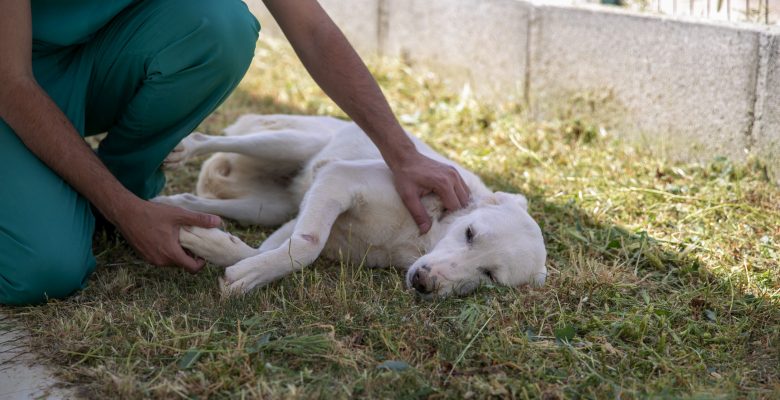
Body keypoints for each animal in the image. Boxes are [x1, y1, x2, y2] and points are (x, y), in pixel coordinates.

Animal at [149, 113, 544, 296]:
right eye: (470, 233)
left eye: (489, 276)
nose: (424, 283)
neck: (416, 240)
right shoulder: (337, 178)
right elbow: (305, 248)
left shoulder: (310, 212)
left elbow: (266, 250)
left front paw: (216, 248)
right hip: (286, 144)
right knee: (211, 138)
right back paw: (183, 150)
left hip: (270, 207)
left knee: (193, 199)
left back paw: (167, 206)